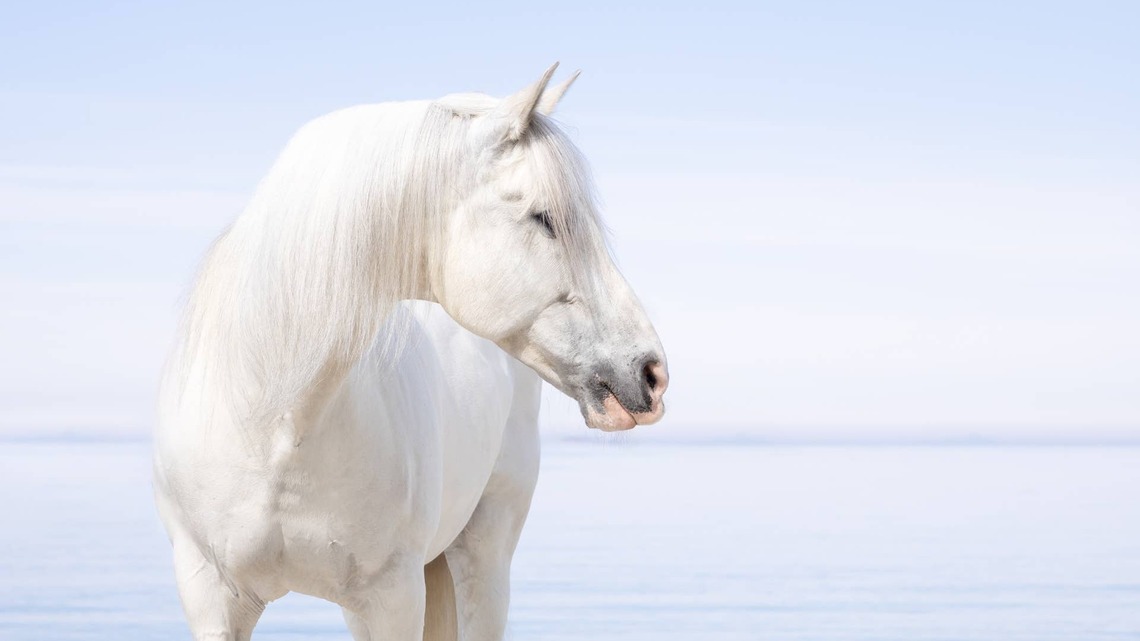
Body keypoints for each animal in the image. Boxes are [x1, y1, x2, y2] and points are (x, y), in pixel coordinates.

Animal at [153, 63, 669, 641]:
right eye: (543, 217)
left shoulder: (392, 597)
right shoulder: (211, 596)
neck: (275, 425)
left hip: (485, 554)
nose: (651, 373)